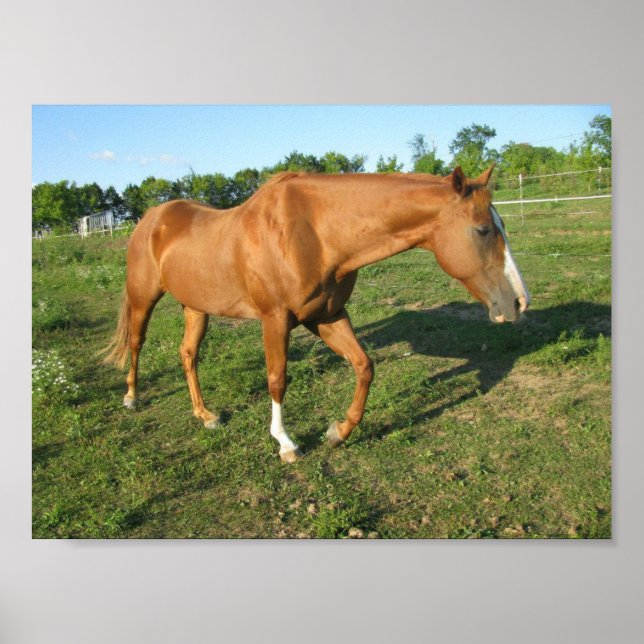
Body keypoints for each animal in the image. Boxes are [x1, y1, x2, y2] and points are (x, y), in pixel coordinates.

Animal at [104, 165, 530, 463]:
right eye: (482, 230)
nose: (519, 303)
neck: (315, 233)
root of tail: (150, 219)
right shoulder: (275, 320)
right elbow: (277, 380)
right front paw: (286, 443)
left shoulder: (327, 316)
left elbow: (364, 366)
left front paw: (338, 431)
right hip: (143, 299)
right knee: (137, 343)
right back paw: (132, 397)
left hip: (196, 306)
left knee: (188, 354)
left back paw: (204, 414)